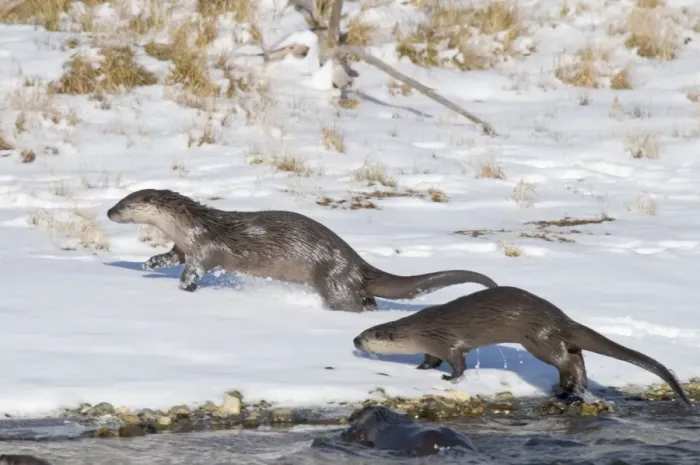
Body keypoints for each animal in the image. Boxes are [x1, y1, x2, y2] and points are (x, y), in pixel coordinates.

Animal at [106, 189, 498, 312]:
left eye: (124, 204)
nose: (108, 212)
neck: (190, 225)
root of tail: (356, 262)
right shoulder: (182, 244)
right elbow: (172, 256)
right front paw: (150, 263)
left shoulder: (205, 246)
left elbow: (197, 268)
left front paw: (185, 287)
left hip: (333, 280)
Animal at [353, 286, 692, 406]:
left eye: (368, 335)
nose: (354, 340)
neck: (422, 329)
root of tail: (561, 318)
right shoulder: (432, 345)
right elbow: (429, 359)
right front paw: (421, 368)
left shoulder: (448, 342)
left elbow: (458, 363)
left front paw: (450, 378)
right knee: (576, 355)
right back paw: (571, 388)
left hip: (537, 338)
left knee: (565, 357)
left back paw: (567, 388)